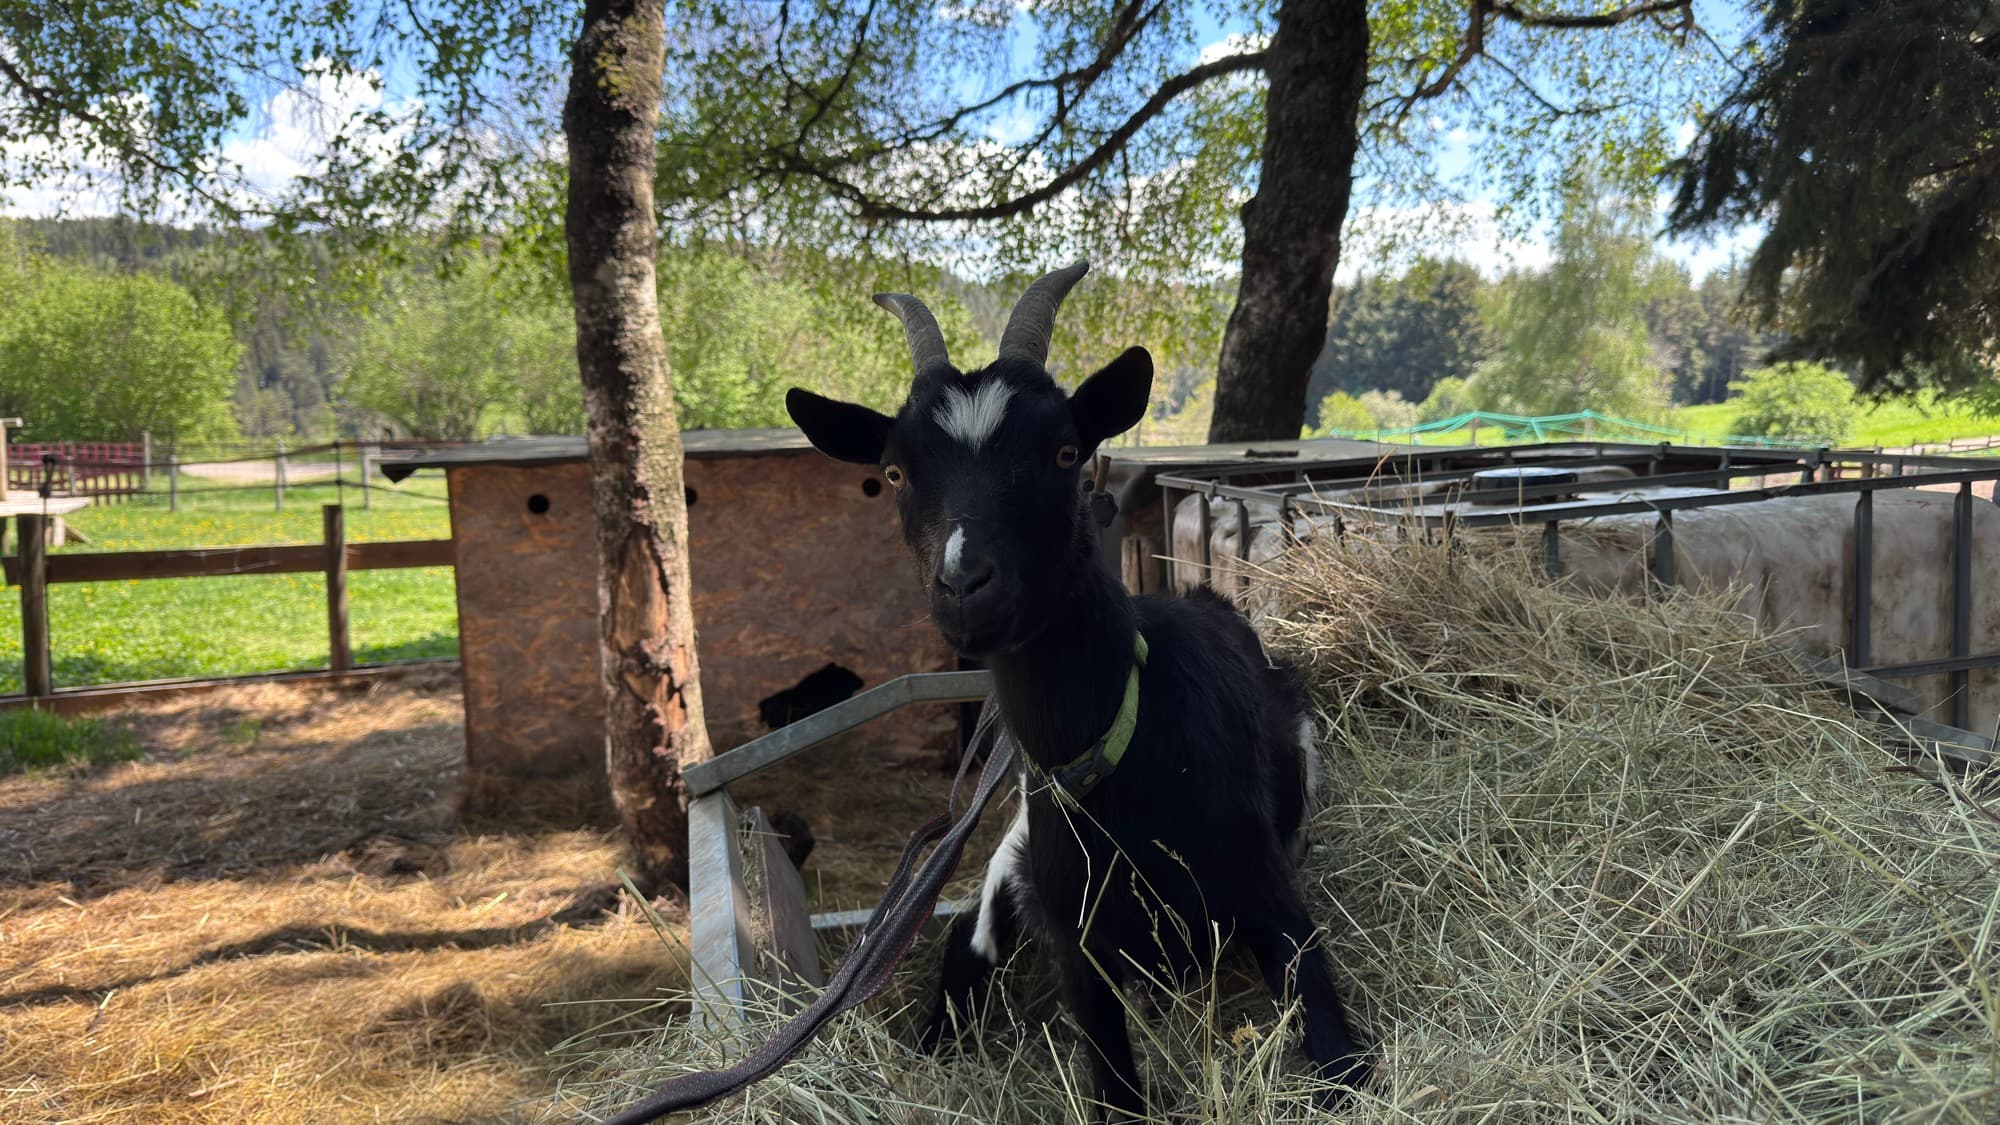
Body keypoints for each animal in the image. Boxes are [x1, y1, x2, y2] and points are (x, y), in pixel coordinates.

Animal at [786, 262, 1368, 1119]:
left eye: (1064, 450)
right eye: (893, 472)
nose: (966, 584)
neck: (1123, 754)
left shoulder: (1270, 893)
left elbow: (1338, 1053)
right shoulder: (1074, 941)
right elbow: (1114, 1089)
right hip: (1010, 859)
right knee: (965, 942)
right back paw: (934, 1045)